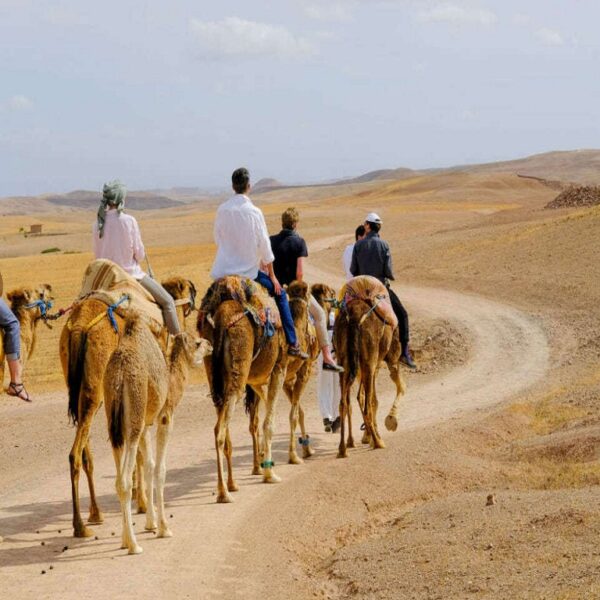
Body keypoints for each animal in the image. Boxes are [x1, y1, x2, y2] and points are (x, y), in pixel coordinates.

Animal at [60, 276, 196, 538]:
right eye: (190, 291)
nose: (194, 305)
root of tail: (79, 327)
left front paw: (137, 498)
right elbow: (141, 455)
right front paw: (142, 503)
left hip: (82, 391)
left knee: (83, 450)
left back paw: (95, 514)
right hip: (96, 390)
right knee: (75, 453)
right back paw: (80, 525)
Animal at [105, 315, 210, 554]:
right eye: (197, 343)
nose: (210, 344)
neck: (172, 381)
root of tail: (119, 375)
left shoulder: (146, 423)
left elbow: (149, 465)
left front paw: (151, 523)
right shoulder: (165, 417)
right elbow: (160, 469)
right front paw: (164, 528)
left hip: (114, 421)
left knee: (118, 475)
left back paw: (125, 540)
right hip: (134, 413)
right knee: (124, 480)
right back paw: (134, 546)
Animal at [199, 276, 287, 503]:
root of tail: (221, 318)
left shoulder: (255, 380)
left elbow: (258, 418)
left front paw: (261, 463)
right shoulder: (278, 369)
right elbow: (268, 422)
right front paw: (269, 473)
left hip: (214, 374)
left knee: (224, 426)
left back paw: (231, 484)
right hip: (238, 371)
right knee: (219, 431)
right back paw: (224, 492)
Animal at [333, 277, 406, 458]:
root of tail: (354, 317)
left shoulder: (372, 366)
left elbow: (369, 398)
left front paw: (368, 436)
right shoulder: (390, 360)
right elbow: (400, 388)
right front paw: (390, 421)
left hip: (346, 362)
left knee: (344, 403)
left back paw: (344, 448)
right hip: (369, 361)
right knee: (364, 404)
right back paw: (378, 442)